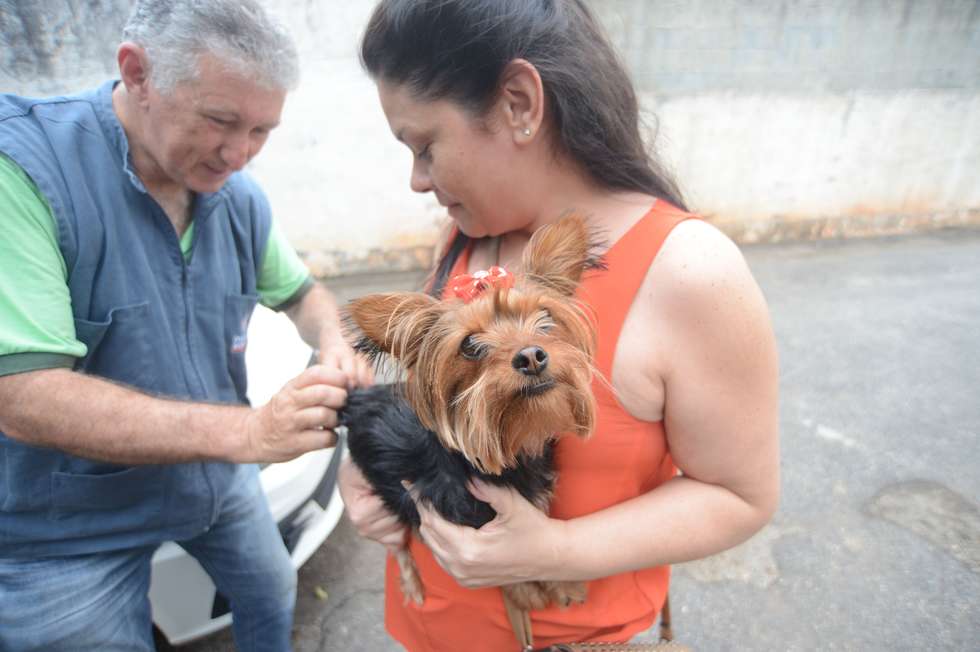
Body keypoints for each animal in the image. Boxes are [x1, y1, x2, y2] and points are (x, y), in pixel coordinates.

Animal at [336, 214, 596, 612]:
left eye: (546, 318)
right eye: (470, 345)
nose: (531, 356)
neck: (511, 453)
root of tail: (359, 397)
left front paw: (559, 583)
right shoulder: (466, 523)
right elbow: (505, 573)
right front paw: (525, 592)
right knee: (398, 545)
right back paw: (412, 582)